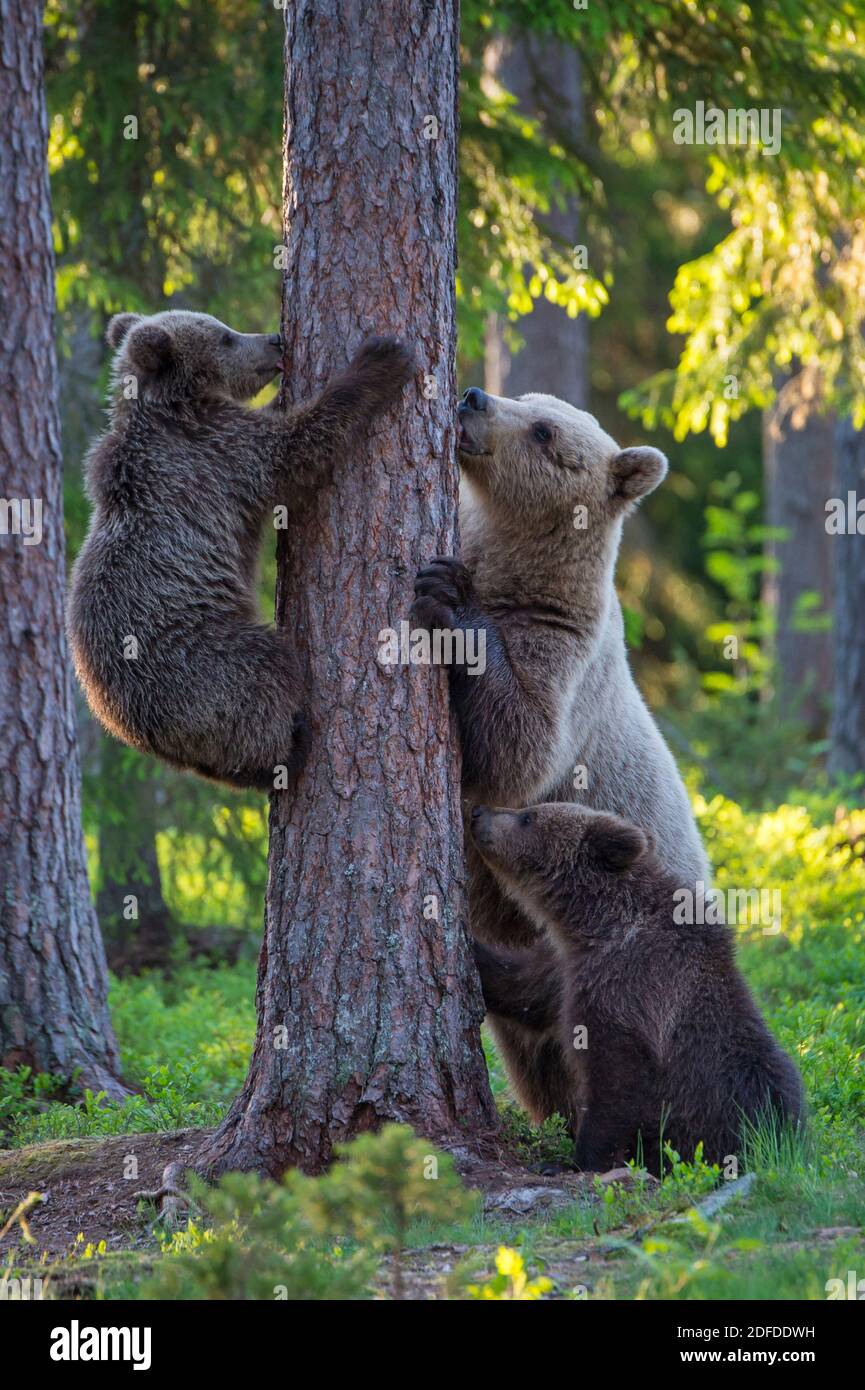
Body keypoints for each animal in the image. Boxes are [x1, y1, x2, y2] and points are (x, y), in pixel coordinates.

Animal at [414, 389, 712, 1128]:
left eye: (546, 431)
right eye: (529, 398)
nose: (474, 396)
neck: (521, 577)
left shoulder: (560, 664)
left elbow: (515, 748)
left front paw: (445, 592)